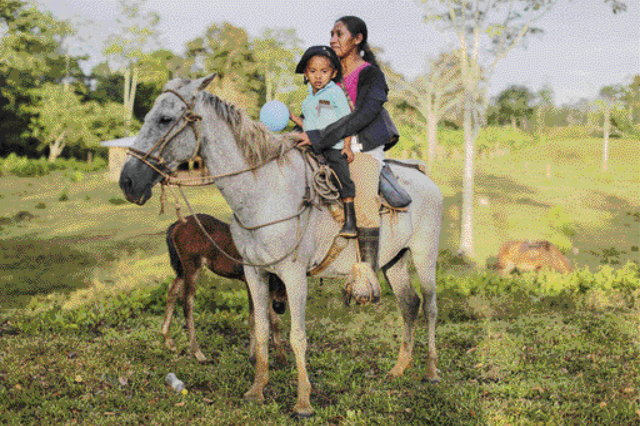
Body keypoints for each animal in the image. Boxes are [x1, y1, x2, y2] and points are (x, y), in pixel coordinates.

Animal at [117, 75, 442, 418]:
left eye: (165, 119)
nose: (127, 181)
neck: (265, 192)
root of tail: (424, 177)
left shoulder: (293, 276)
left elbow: (297, 336)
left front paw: (303, 403)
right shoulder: (255, 273)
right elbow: (260, 328)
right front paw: (257, 389)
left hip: (425, 254)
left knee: (430, 307)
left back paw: (431, 372)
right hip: (394, 260)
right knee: (409, 304)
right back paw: (399, 369)